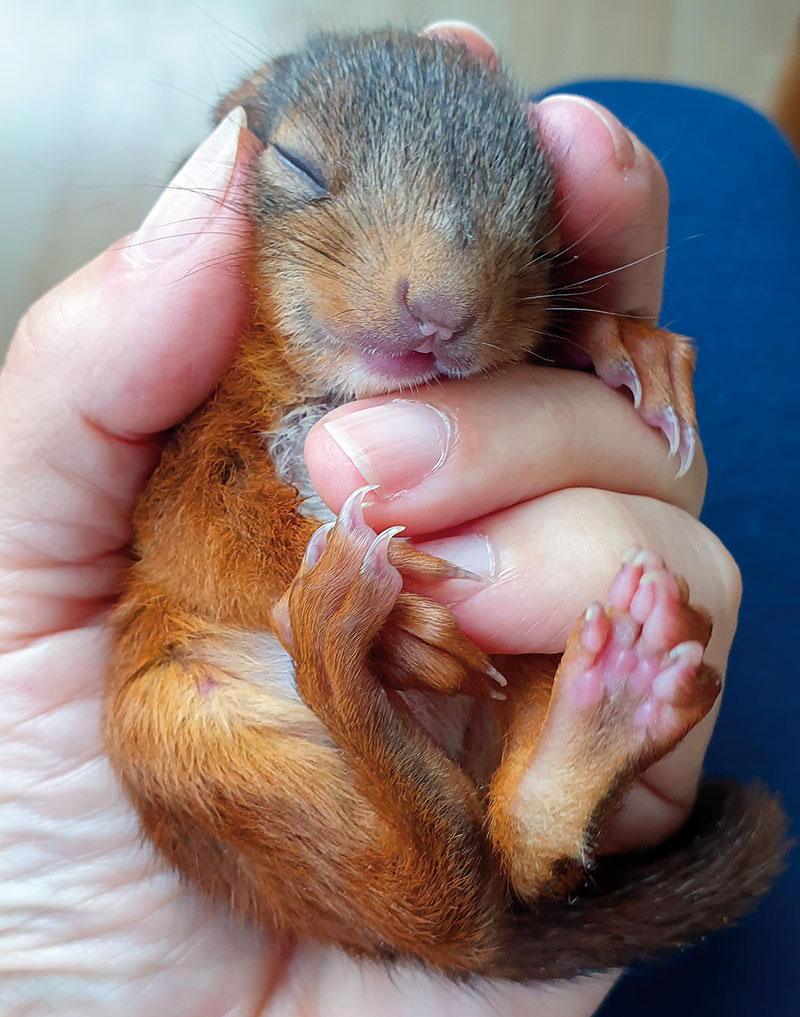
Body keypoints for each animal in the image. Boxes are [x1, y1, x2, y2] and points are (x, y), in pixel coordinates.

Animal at [104, 31, 788, 980]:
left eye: (544, 234)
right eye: (298, 162)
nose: (441, 311)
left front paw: (619, 340)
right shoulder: (170, 470)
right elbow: (208, 531)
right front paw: (406, 628)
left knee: (517, 856)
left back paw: (603, 711)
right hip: (187, 737)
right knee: (442, 891)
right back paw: (345, 636)